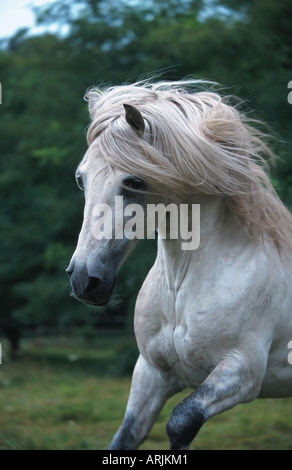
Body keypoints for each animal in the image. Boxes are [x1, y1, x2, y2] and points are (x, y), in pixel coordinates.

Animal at [66, 81, 292, 452]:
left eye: (134, 182)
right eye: (81, 179)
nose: (85, 279)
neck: (181, 286)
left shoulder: (242, 373)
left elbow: (181, 422)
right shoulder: (151, 373)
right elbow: (126, 435)